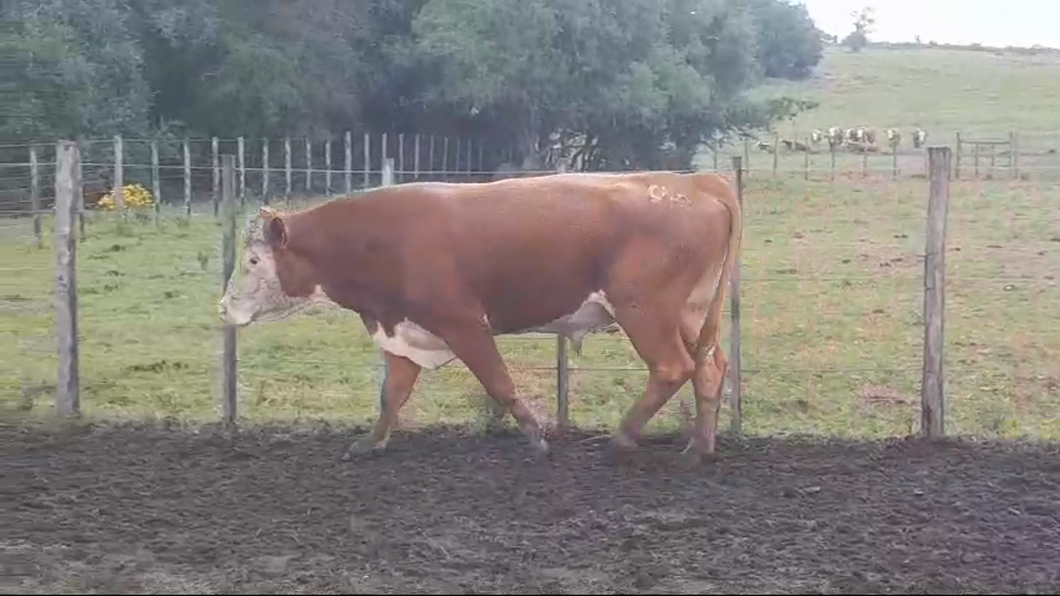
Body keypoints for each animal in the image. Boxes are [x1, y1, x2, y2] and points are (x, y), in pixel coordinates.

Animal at [218, 170, 741, 460]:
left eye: (253, 261)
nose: (224, 307)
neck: (383, 237)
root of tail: (695, 182)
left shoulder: (464, 324)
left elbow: (499, 383)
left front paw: (536, 439)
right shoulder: (402, 330)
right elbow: (392, 396)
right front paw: (370, 444)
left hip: (644, 310)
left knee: (672, 367)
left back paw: (624, 437)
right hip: (689, 313)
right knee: (710, 367)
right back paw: (699, 448)